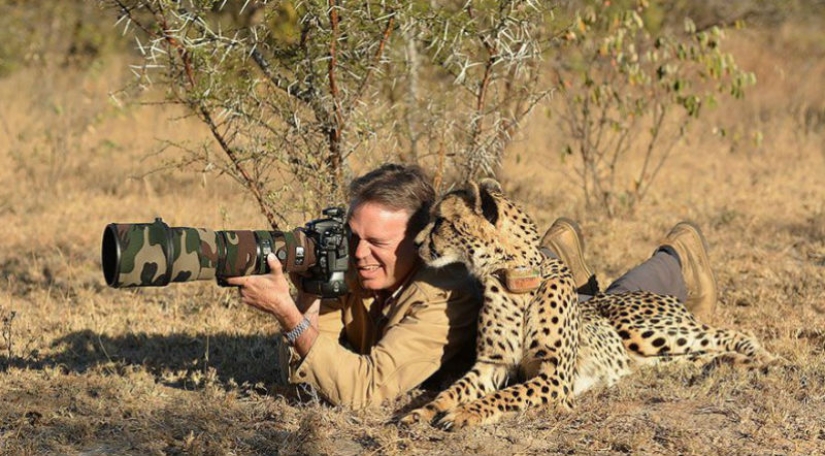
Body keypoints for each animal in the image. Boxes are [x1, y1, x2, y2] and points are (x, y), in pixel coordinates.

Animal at [402, 179, 784, 432]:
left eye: (441, 221)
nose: (417, 244)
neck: (516, 280)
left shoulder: (555, 377)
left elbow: (503, 396)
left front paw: (465, 413)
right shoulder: (490, 365)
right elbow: (453, 390)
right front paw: (421, 412)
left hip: (645, 331)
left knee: (730, 333)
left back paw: (766, 360)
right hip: (652, 358)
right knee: (701, 353)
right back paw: (728, 364)